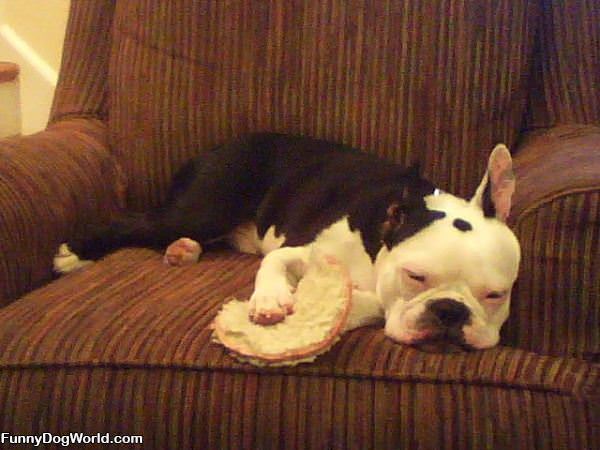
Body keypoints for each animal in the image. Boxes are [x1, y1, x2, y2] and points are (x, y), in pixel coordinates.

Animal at [52, 134, 520, 352]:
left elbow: (363, 301)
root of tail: (220, 147)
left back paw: (183, 250)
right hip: (201, 206)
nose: (450, 311)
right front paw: (271, 300)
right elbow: (273, 263)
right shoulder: (302, 249)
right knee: (134, 224)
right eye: (415, 277)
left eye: (496, 295)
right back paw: (73, 255)